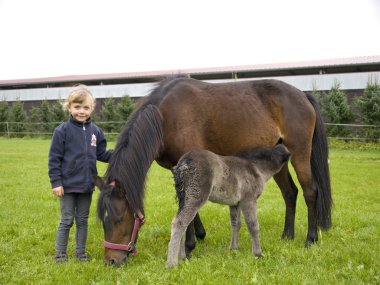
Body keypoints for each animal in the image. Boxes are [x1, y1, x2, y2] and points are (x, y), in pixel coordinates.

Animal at [96, 77, 332, 264]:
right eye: (103, 221)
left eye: (119, 219)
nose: (111, 261)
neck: (166, 116)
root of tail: (303, 95)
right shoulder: (179, 170)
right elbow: (186, 206)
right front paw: (198, 236)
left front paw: (188, 246)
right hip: (279, 159)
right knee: (290, 192)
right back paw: (287, 235)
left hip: (300, 153)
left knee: (310, 191)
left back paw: (310, 238)